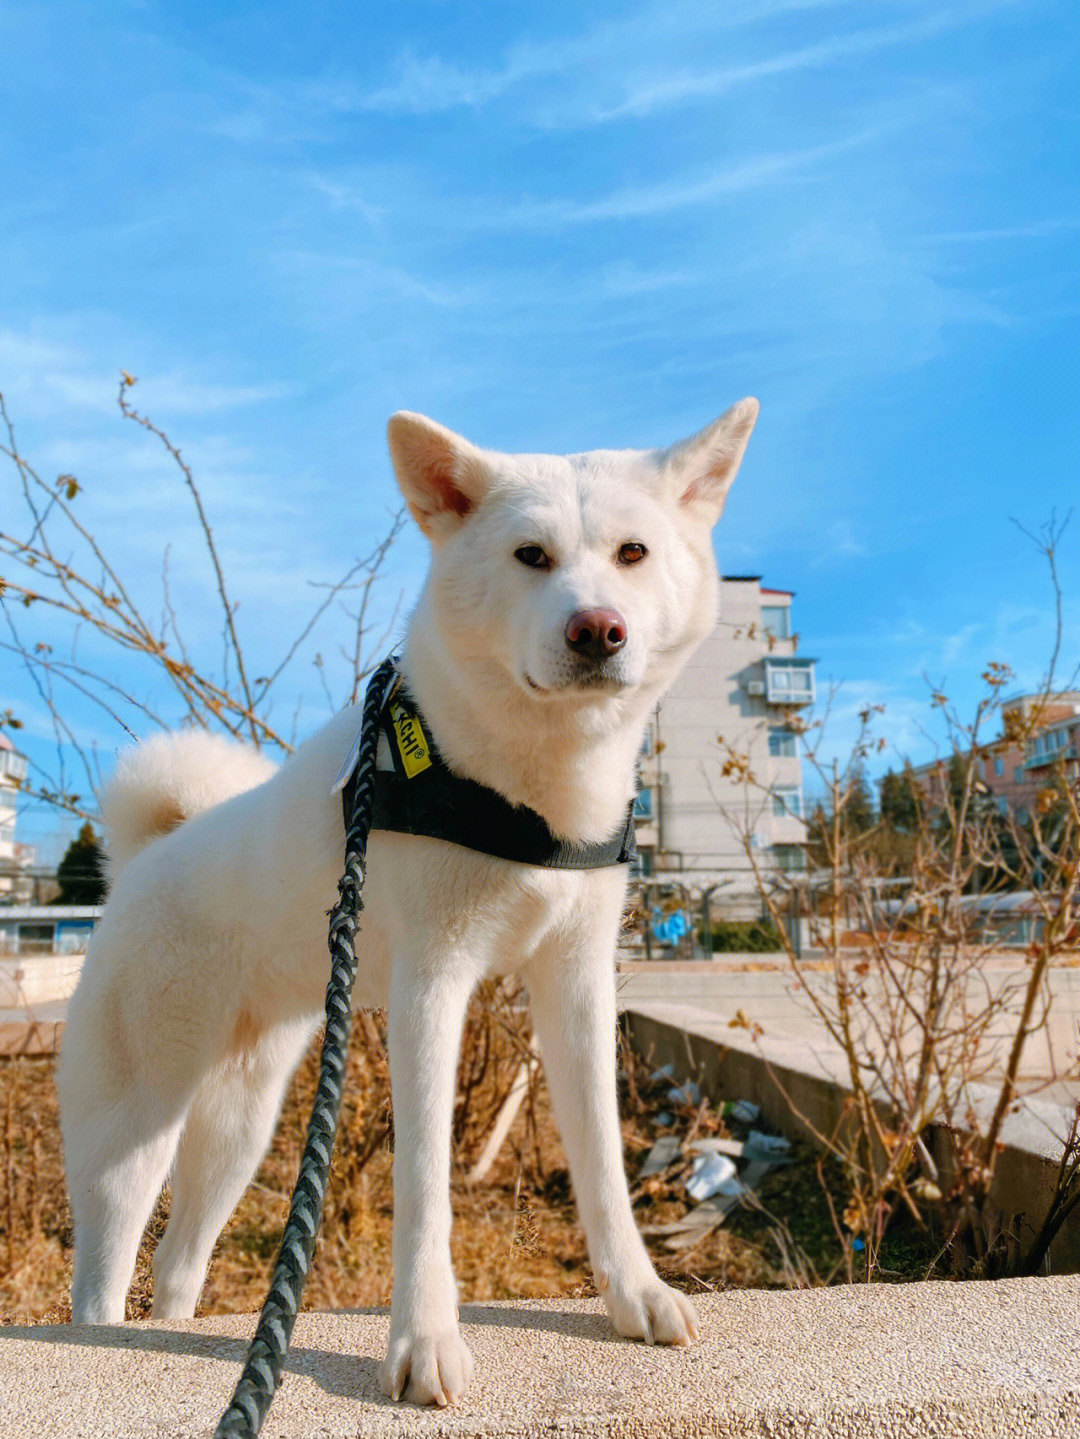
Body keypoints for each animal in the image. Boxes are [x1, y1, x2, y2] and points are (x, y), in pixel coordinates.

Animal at [57, 402, 759, 1404]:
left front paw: (637, 1294)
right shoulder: (434, 983)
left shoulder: (578, 986)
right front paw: (422, 1340)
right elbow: (425, 1183)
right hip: (136, 1123)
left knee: (179, 1260)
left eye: (633, 552)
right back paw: (101, 1336)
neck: (531, 792)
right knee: (104, 1268)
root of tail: (146, 856)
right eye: (531, 555)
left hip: (241, 1122)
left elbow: (603, 1161)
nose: (598, 629)